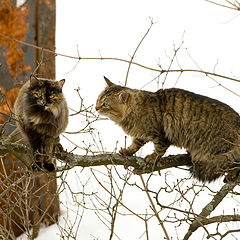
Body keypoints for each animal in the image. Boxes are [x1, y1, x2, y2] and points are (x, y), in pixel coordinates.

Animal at [95, 77, 240, 182]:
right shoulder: (141, 134)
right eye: (98, 99)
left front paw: (153, 157)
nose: (96, 108)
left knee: (233, 163)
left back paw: (232, 175)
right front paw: (128, 151)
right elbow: (136, 143)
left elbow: (159, 149)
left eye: (105, 104)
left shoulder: (161, 133)